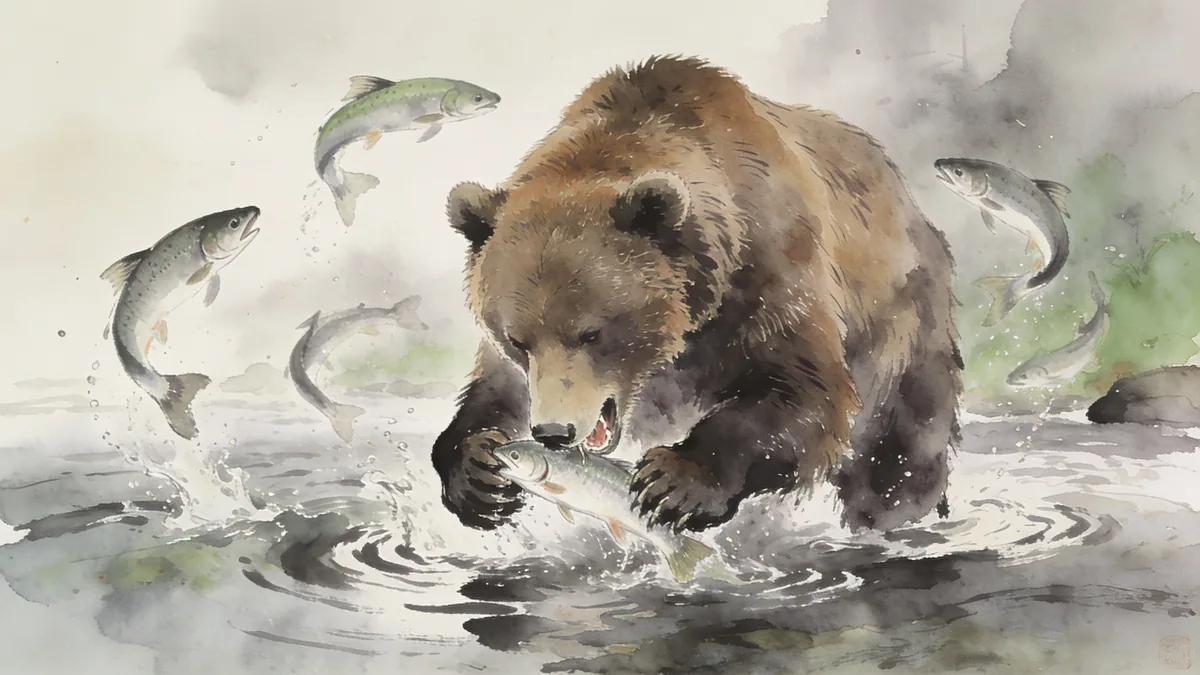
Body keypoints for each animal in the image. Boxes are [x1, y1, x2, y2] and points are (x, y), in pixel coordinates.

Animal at [431, 55, 962, 535]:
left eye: (592, 333)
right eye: (517, 339)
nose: (554, 432)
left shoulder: (769, 270)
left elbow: (803, 391)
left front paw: (675, 479)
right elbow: (494, 392)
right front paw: (478, 470)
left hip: (902, 315)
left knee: (901, 441)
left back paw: (896, 509)